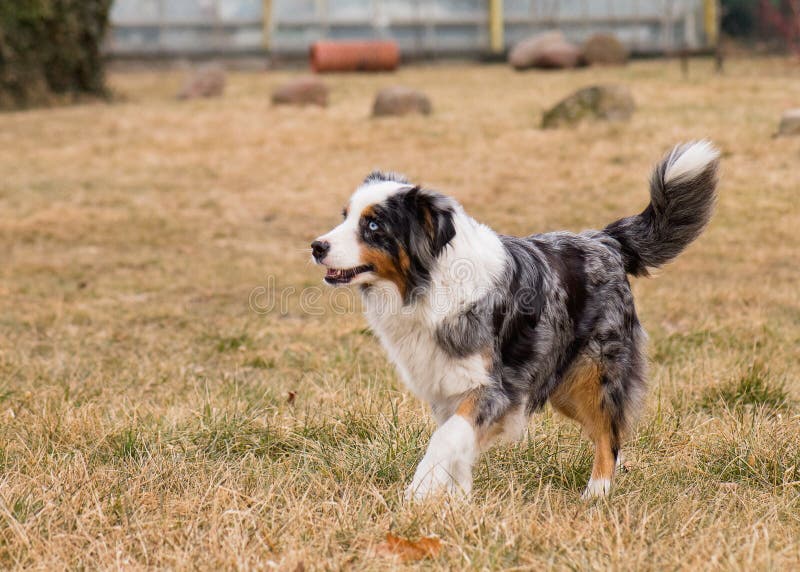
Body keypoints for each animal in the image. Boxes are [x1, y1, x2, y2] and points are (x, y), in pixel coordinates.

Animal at [310, 142, 720, 500]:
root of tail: (604, 240)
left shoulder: (495, 387)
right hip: (564, 388)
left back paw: (597, 492)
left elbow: (444, 440)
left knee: (609, 434)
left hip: (592, 374)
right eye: (345, 217)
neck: (428, 286)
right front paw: (456, 502)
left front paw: (418, 493)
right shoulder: (448, 387)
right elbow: (457, 448)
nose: (316, 246)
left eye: (374, 226)